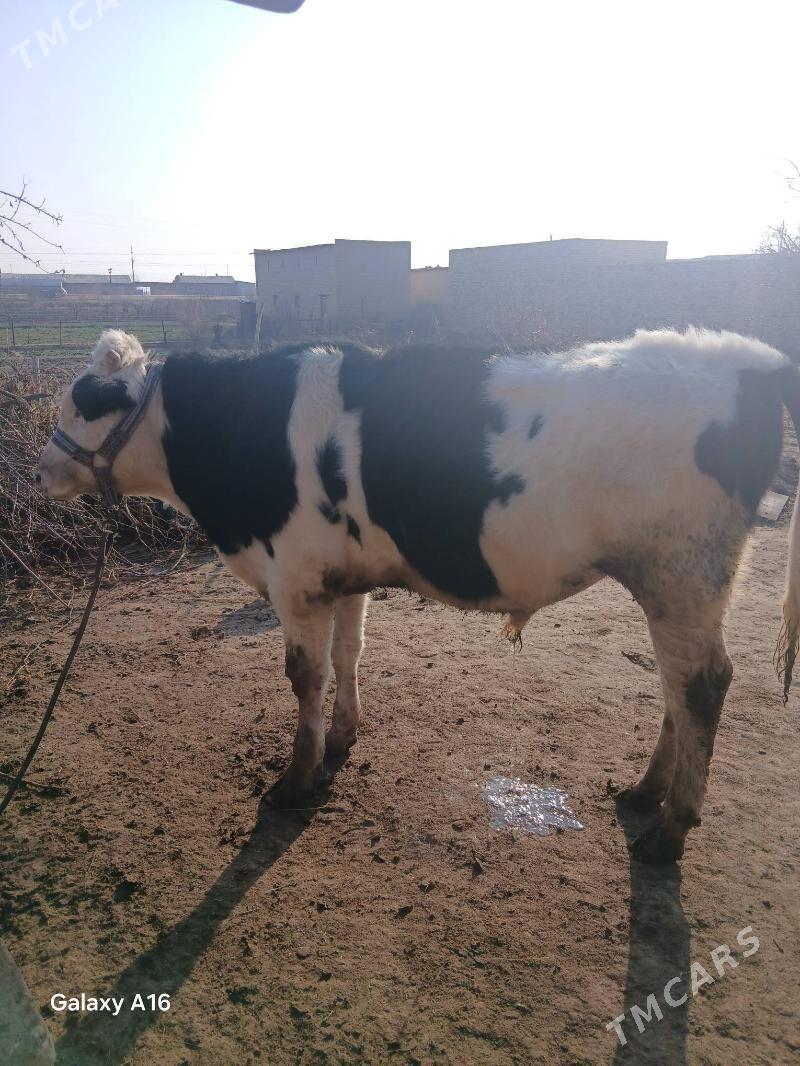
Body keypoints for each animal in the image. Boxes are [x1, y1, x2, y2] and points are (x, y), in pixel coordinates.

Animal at [35, 327, 800, 864]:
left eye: (84, 402)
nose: (40, 472)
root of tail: (754, 359)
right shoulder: (339, 577)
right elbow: (349, 655)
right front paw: (343, 738)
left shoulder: (295, 578)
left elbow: (304, 676)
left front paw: (295, 778)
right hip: (678, 585)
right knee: (679, 687)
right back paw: (645, 792)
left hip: (684, 573)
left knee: (701, 686)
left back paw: (670, 830)